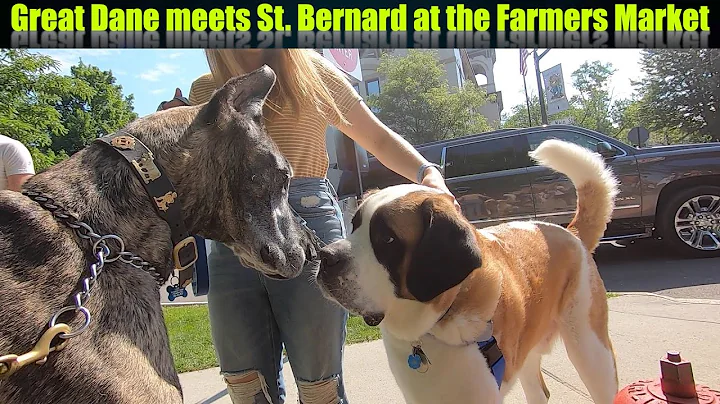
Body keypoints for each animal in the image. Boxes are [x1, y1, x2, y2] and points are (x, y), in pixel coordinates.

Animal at [318, 140, 620, 404]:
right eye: (354, 225)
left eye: (387, 239)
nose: (325, 256)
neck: (433, 327)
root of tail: (570, 233)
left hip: (592, 352)